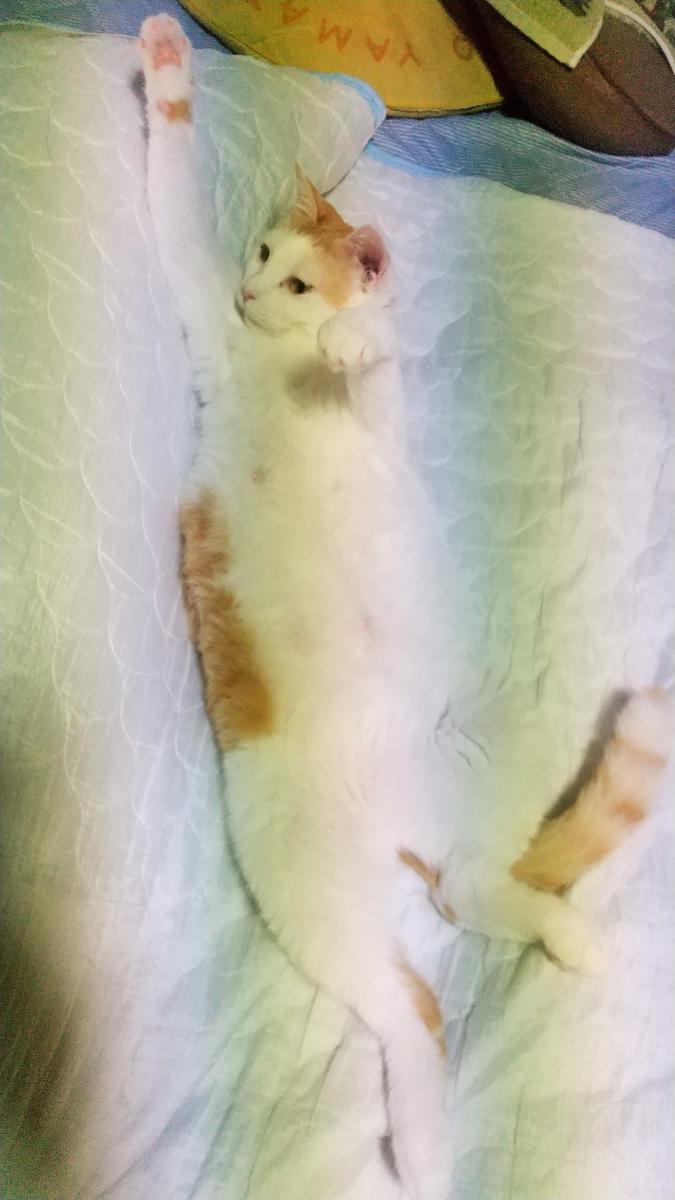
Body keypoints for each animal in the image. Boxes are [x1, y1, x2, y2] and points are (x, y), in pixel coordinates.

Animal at [139, 15, 673, 1199]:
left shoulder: (362, 393)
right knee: (435, 973)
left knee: (446, 949)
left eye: (300, 284)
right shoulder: (208, 320)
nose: (255, 296)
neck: (277, 364)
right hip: (337, 883)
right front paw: (165, 67)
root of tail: (412, 825)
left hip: (414, 811)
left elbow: (364, 345)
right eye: (263, 258)